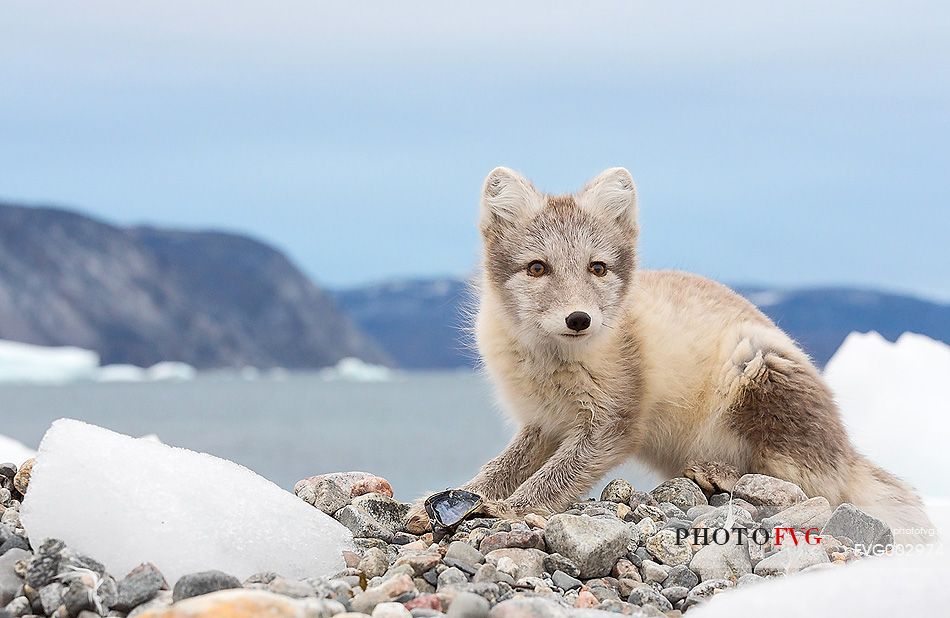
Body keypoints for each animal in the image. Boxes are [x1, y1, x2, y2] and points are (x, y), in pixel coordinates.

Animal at [406, 166, 932, 540]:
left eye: (597, 268)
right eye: (537, 268)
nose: (579, 319)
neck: (550, 362)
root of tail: (846, 450)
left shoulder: (612, 422)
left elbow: (552, 478)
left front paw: (508, 509)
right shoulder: (543, 421)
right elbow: (500, 467)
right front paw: (452, 499)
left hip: (757, 364)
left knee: (806, 487)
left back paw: (722, 473)